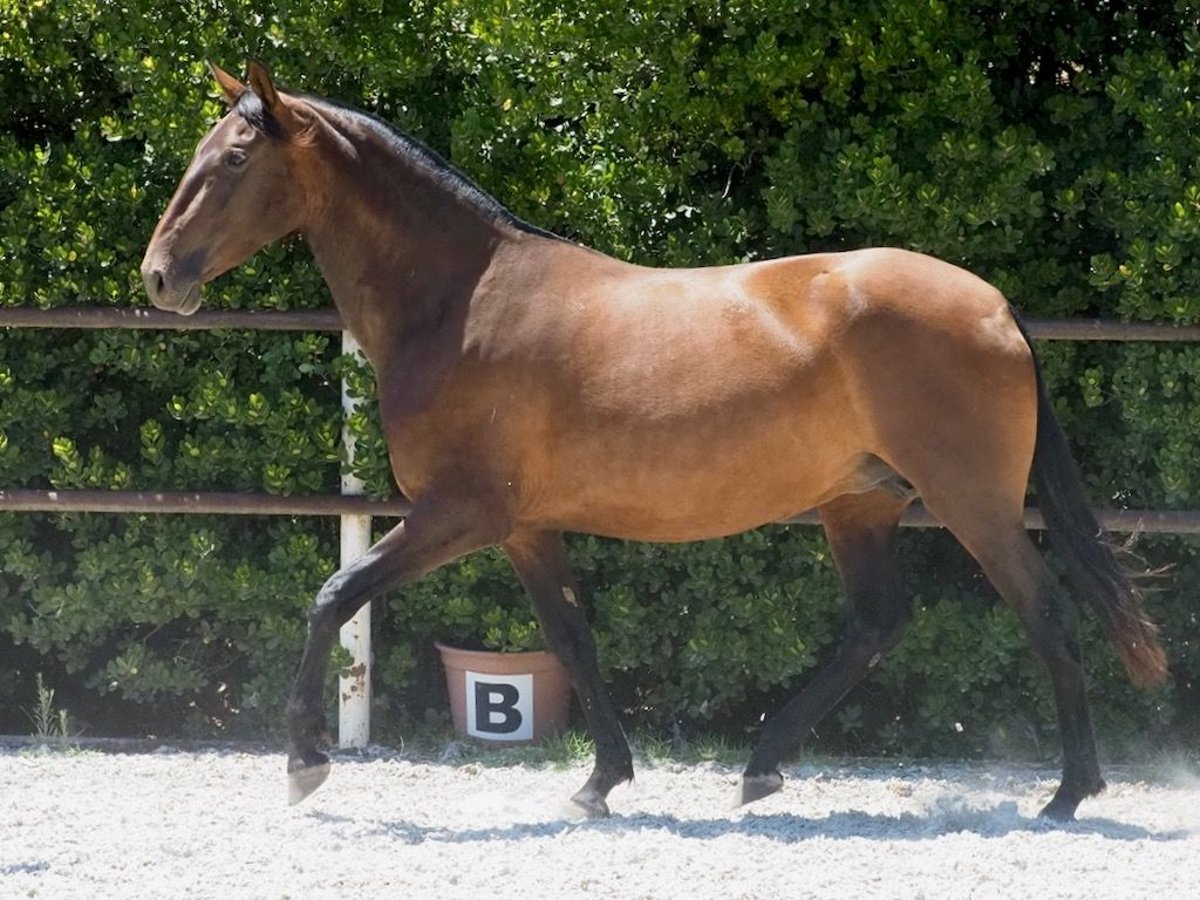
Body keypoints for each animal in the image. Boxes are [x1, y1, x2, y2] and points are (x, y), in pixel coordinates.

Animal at [140, 61, 1161, 825]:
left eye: (234, 159)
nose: (158, 275)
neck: (465, 300)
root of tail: (992, 304)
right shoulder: (524, 528)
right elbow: (572, 640)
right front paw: (600, 782)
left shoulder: (458, 514)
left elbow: (332, 596)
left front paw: (304, 763)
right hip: (860, 503)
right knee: (878, 624)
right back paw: (761, 766)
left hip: (970, 504)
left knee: (1046, 615)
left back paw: (1068, 794)